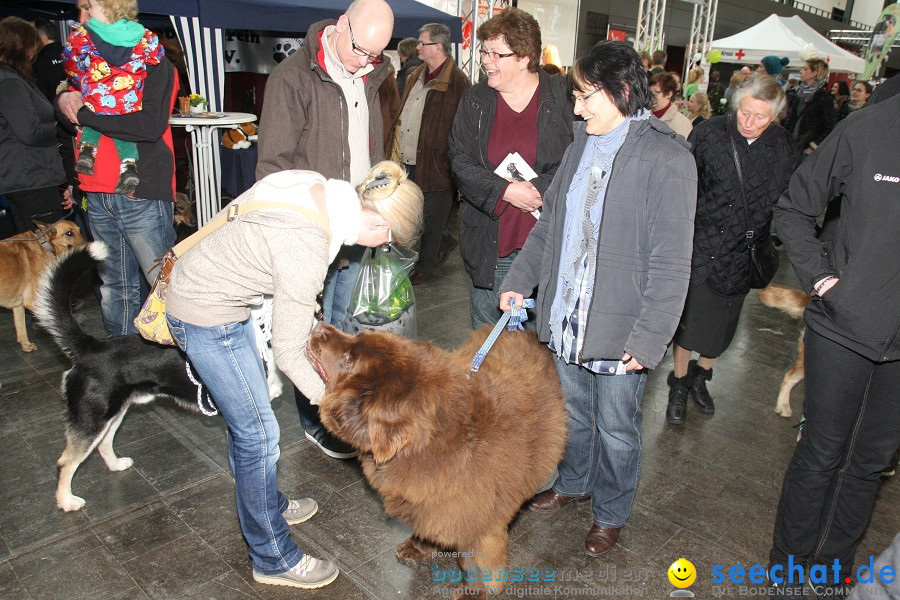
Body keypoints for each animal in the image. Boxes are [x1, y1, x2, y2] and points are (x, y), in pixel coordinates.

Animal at [0, 220, 86, 352]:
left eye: (80, 230)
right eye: (69, 233)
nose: (88, 246)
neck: (45, 244)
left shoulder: (18, 305)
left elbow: (21, 328)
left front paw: (26, 345)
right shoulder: (35, 302)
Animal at [306, 324, 568, 596]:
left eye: (349, 360)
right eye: (358, 336)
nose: (320, 326)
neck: (429, 443)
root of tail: (520, 327)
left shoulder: (477, 518)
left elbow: (473, 561)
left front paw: (475, 591)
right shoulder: (429, 501)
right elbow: (428, 524)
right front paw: (420, 547)